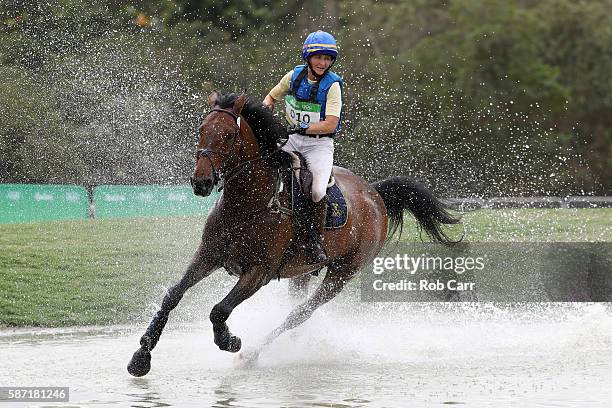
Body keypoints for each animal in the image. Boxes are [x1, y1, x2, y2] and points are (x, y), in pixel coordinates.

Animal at [128, 90, 460, 376]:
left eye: (229, 135)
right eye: (201, 129)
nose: (201, 182)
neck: (247, 204)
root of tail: (374, 193)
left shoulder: (258, 272)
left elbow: (219, 310)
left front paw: (229, 340)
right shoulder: (208, 255)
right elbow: (173, 295)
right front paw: (141, 356)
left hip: (342, 273)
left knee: (299, 314)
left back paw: (252, 354)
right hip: (301, 272)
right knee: (295, 309)